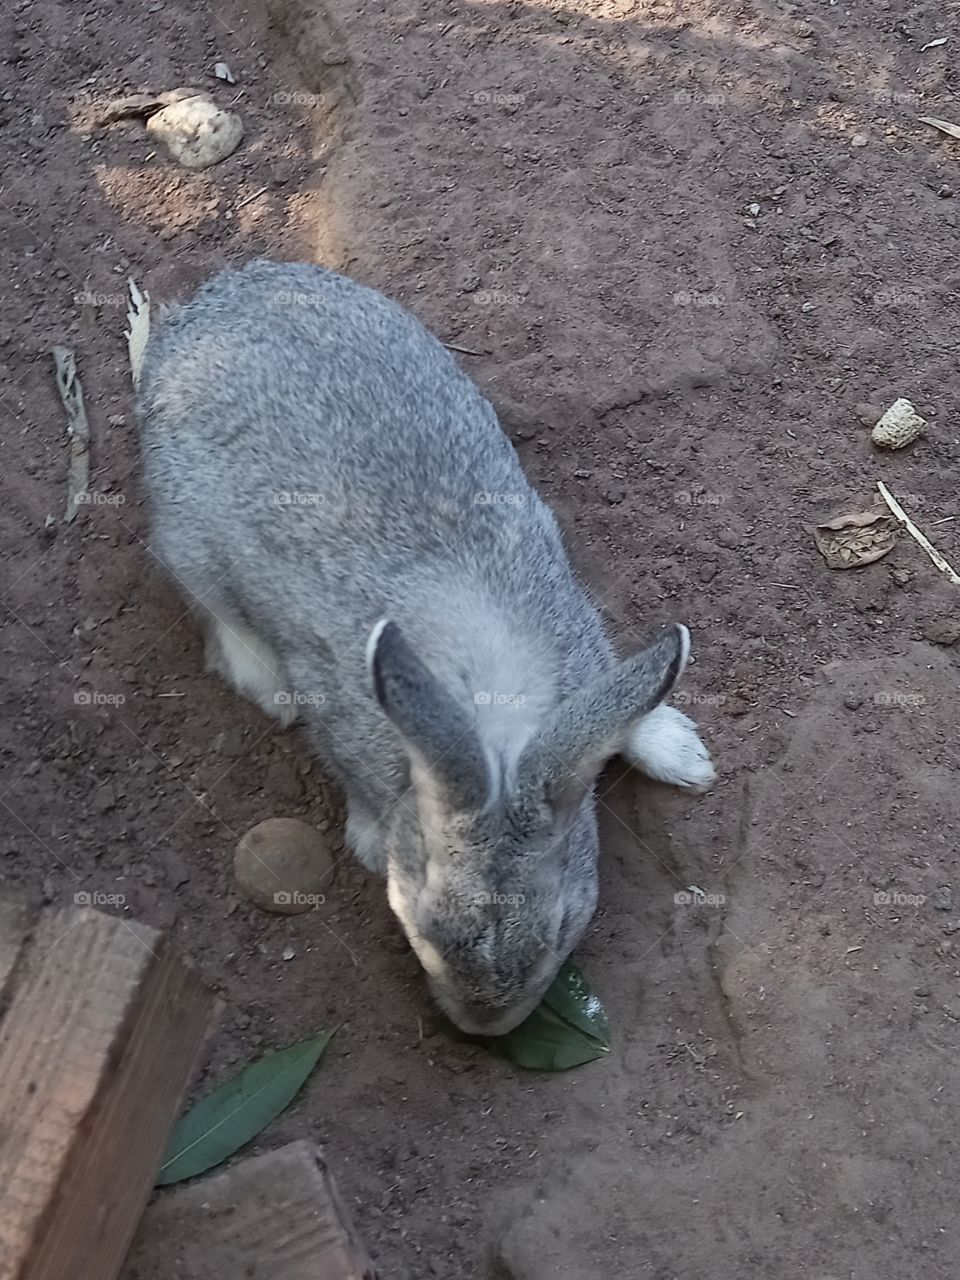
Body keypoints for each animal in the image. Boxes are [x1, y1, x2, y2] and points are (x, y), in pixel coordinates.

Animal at [136, 260, 716, 1036]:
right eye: (420, 933)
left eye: (563, 928)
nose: (484, 1030)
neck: (494, 724)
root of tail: (189, 321)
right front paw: (370, 837)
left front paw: (685, 756)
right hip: (188, 542)